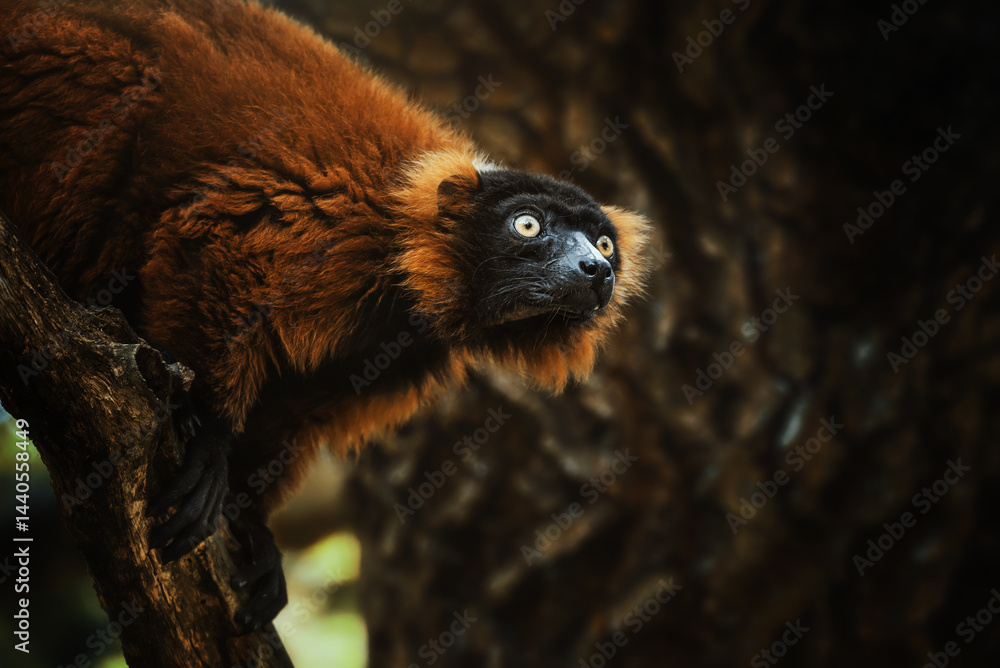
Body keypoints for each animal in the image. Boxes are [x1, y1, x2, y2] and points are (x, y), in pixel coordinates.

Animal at [0, 0, 652, 631]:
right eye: (528, 225)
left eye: (604, 243)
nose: (597, 270)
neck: (404, 261)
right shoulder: (333, 222)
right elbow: (212, 239)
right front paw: (207, 431)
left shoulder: (405, 344)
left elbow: (296, 404)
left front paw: (250, 520)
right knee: (123, 82)